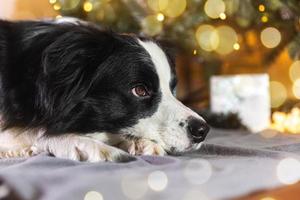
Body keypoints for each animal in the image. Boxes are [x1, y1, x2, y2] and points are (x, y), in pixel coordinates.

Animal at [0, 18, 209, 162]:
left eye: (172, 88)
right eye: (140, 90)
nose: (202, 130)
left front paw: (138, 142)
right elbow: (34, 130)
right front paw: (94, 146)